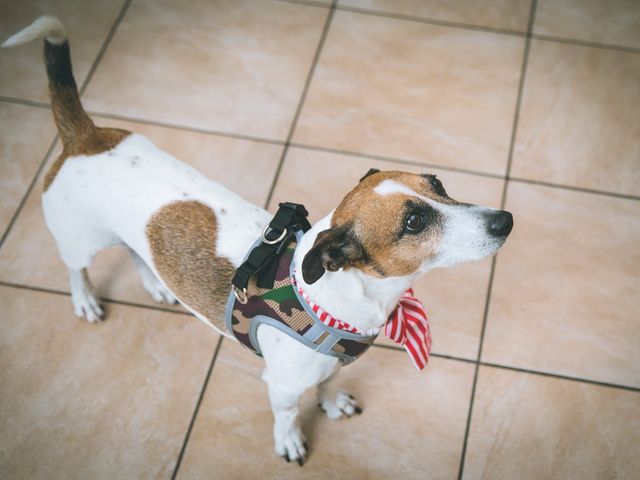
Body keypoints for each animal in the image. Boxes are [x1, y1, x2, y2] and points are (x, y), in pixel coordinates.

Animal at [3, 15, 516, 464]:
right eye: (413, 222)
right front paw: (289, 441)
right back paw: (85, 299)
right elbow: (288, 415)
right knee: (76, 268)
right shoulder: (284, 387)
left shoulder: (331, 366)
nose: (506, 220)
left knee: (133, 250)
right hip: (78, 240)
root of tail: (84, 137)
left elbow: (327, 385)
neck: (333, 299)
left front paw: (332, 402)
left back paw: (155, 284)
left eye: (439, 184)